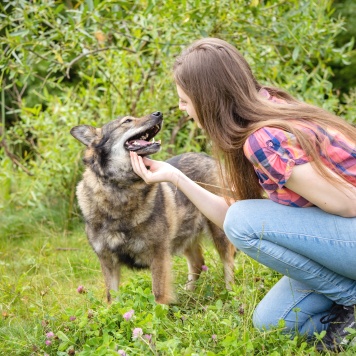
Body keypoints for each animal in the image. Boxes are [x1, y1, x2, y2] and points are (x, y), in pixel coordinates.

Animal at [70, 110, 236, 304]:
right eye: (127, 121)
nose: (158, 113)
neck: (119, 191)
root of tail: (205, 156)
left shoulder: (158, 255)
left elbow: (158, 294)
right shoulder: (107, 260)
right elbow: (112, 299)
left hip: (219, 234)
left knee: (228, 265)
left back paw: (231, 294)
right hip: (185, 236)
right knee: (198, 264)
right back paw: (188, 293)